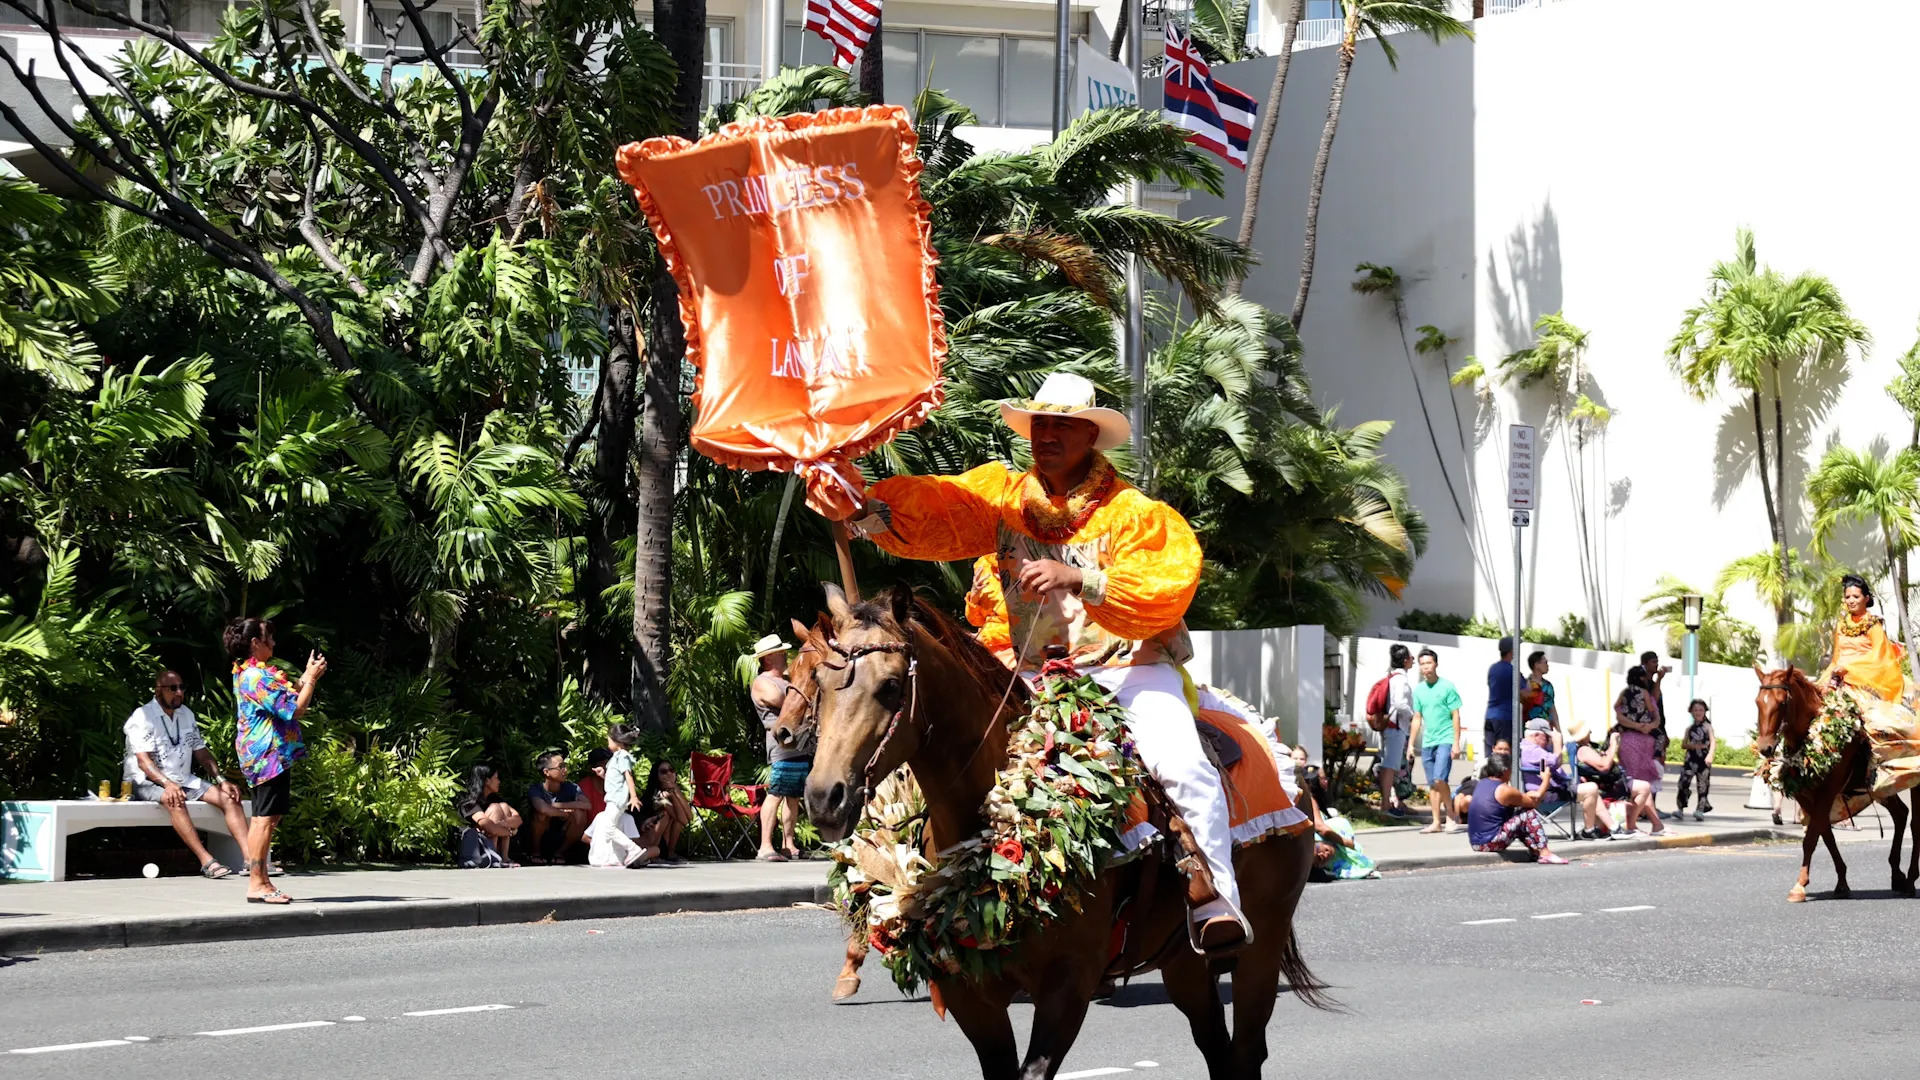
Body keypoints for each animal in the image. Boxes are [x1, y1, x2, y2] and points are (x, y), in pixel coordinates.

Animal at [802, 580, 1328, 1076]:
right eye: (821, 682)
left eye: (891, 686)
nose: (825, 798)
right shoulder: (970, 995)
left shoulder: (1068, 985)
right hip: (1184, 961)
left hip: (1262, 944)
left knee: (1246, 1050)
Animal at [1758, 664, 1920, 899]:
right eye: (1758, 702)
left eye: (1781, 703)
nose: (1765, 748)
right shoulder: (1805, 794)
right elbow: (1825, 834)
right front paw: (1842, 882)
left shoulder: (1829, 789)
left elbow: (1812, 837)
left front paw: (1799, 885)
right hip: (1881, 785)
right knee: (1900, 814)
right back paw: (1897, 875)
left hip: (1911, 781)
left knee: (1915, 825)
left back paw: (1910, 879)